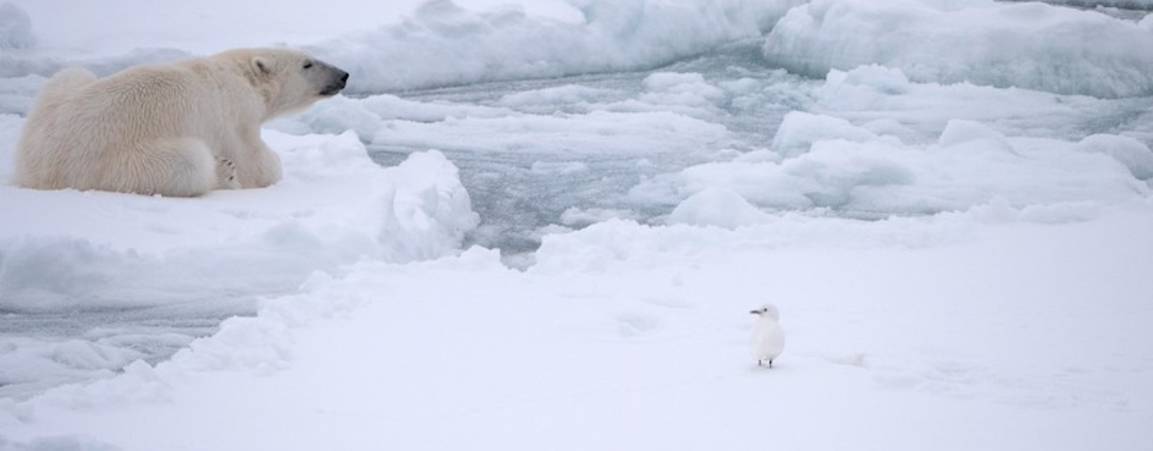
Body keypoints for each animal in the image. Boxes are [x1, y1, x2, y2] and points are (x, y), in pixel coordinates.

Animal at [13, 47, 348, 196]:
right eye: (307, 64)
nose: (344, 74)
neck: (241, 73)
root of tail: (32, 172)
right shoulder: (235, 113)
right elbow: (255, 161)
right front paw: (254, 169)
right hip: (111, 164)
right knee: (190, 162)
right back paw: (221, 172)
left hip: (57, 94)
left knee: (71, 74)